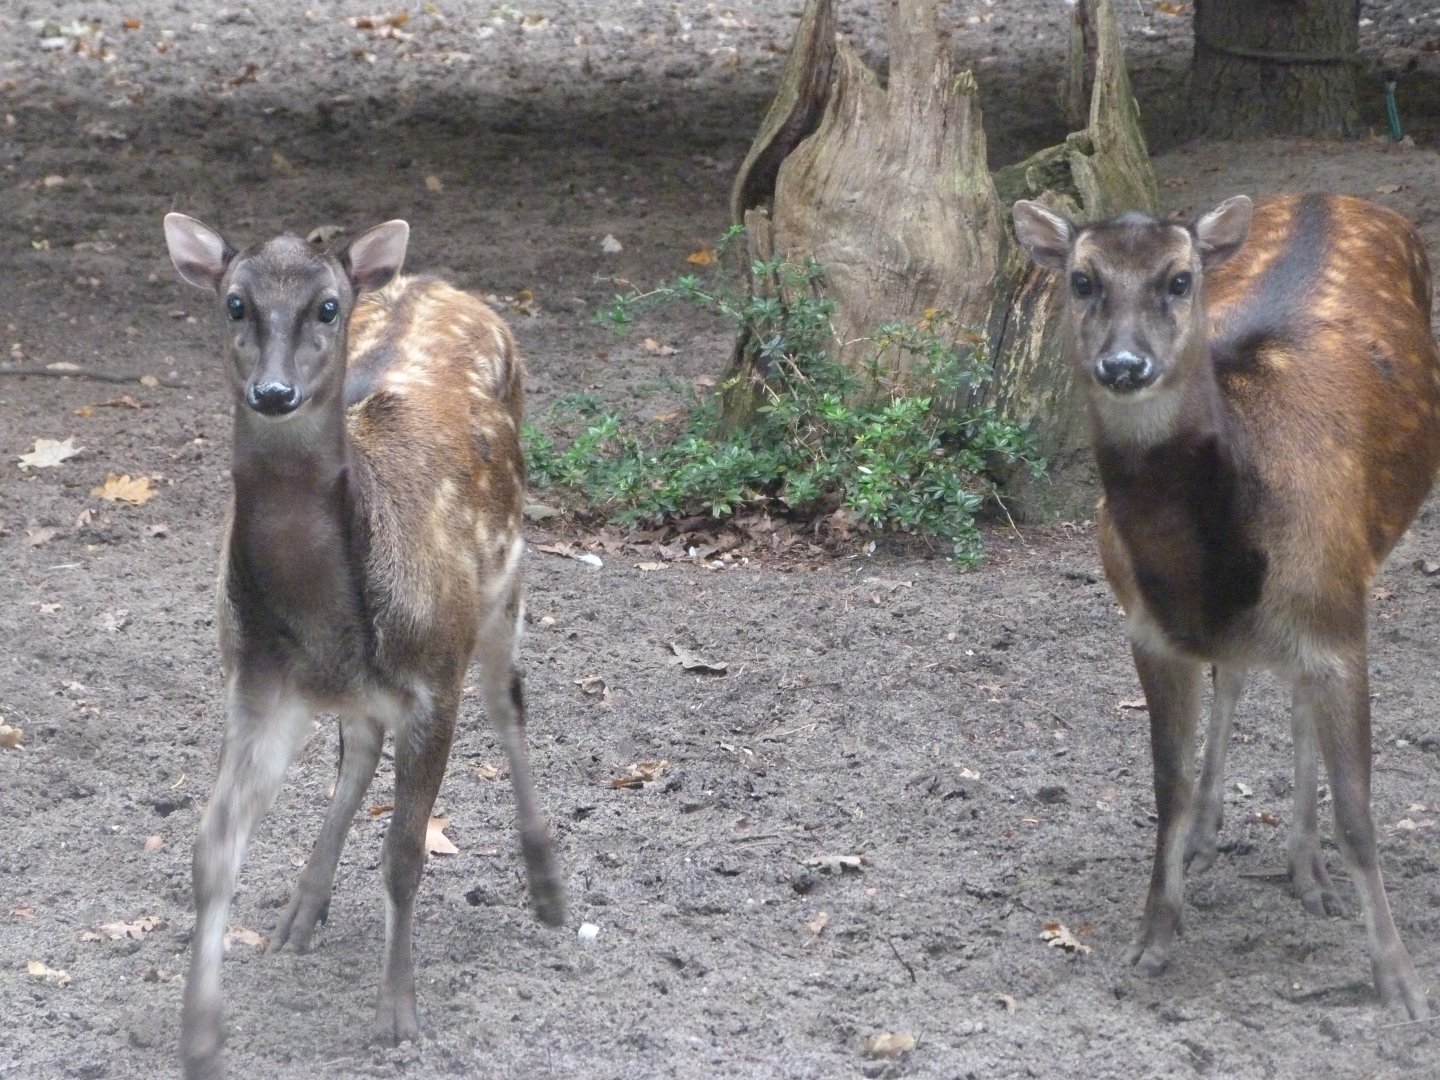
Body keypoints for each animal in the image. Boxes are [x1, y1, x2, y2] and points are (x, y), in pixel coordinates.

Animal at [163, 212, 566, 1079]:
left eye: (327, 307)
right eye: (235, 302)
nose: (274, 392)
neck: (322, 618)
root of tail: (430, 283)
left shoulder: (433, 679)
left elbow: (405, 854)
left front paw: (397, 1015)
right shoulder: (255, 684)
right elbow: (212, 852)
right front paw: (202, 1037)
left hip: (505, 580)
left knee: (508, 703)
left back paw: (550, 888)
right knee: (358, 744)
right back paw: (301, 910)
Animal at [1012, 192, 1440, 1020]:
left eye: (1179, 279)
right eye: (1083, 280)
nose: (1124, 364)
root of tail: (1329, 195)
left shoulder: (1338, 620)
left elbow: (1359, 814)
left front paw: (1401, 983)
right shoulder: (1149, 628)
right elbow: (1167, 785)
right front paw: (1152, 935)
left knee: (1290, 694)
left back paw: (1308, 869)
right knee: (1238, 673)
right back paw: (1218, 837)